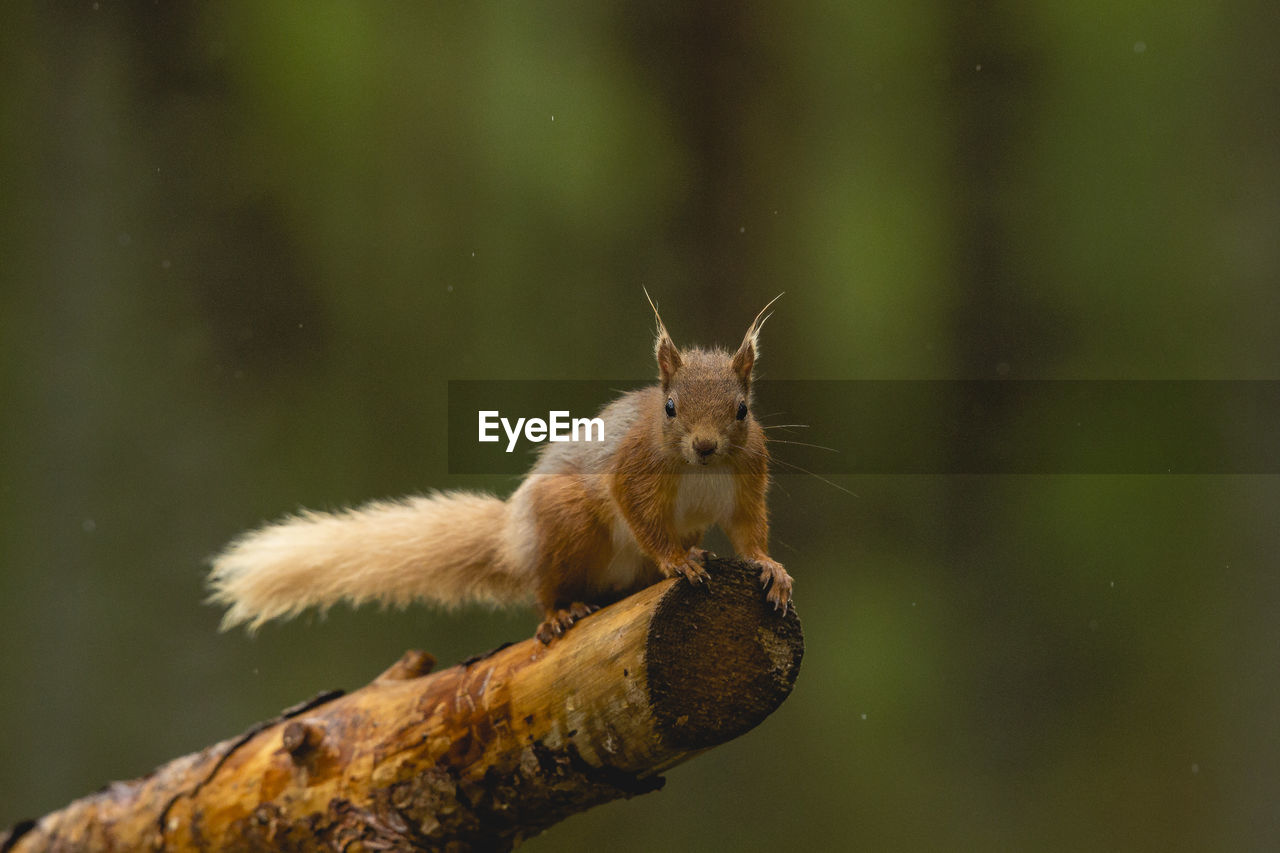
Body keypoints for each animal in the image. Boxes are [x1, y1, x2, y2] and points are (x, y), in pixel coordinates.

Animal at [208, 294, 788, 645]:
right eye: (669, 408)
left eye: (742, 410)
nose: (706, 447)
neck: (702, 471)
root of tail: (515, 539)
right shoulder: (633, 467)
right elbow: (640, 514)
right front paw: (677, 561)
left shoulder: (747, 477)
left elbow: (748, 530)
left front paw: (770, 569)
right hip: (569, 523)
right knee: (547, 587)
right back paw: (560, 612)